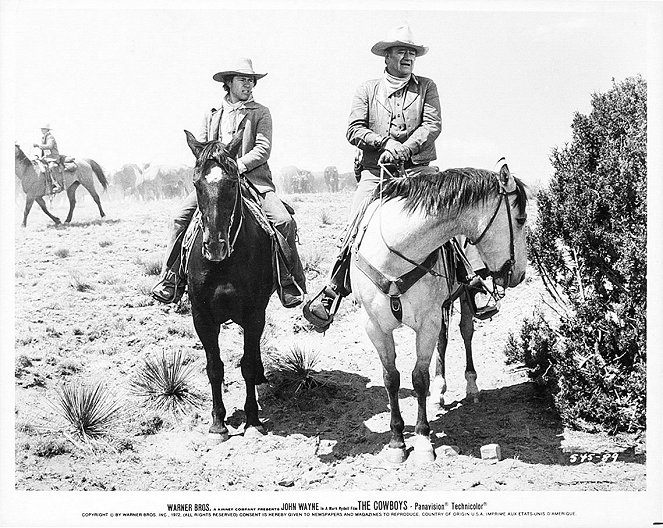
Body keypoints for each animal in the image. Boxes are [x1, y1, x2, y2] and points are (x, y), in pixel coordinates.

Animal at [183, 129, 274, 442]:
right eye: (196, 183)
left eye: (233, 182)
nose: (214, 246)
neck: (223, 265)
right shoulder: (201, 317)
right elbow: (214, 368)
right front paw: (218, 423)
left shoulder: (255, 313)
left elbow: (246, 364)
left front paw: (253, 419)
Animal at [348, 163, 528, 464]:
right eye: (521, 218)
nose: (520, 274)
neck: (395, 255)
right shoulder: (375, 326)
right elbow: (391, 378)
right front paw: (397, 441)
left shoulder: (427, 323)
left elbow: (418, 379)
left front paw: (422, 440)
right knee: (443, 342)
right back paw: (439, 390)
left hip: (462, 297)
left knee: (465, 333)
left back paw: (471, 387)